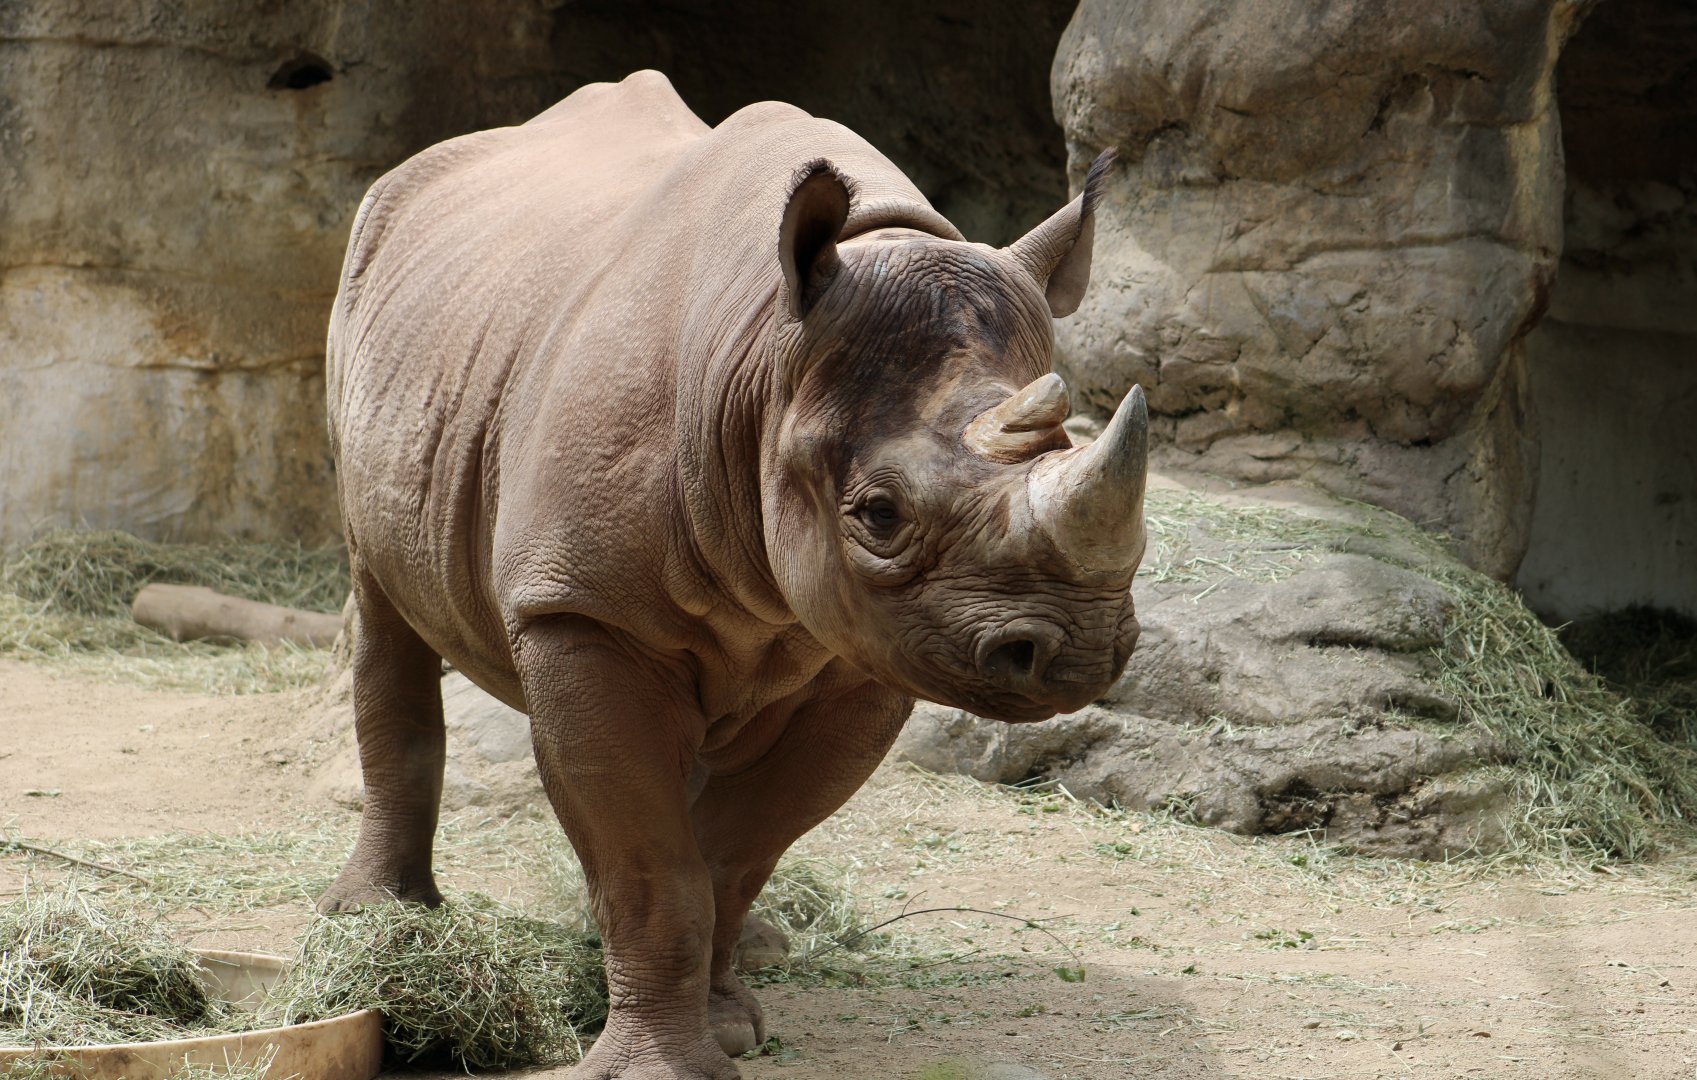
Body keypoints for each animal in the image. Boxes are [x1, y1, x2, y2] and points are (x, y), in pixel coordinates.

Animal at [321, 70, 1148, 1079]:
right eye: (879, 514)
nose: (1078, 653)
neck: (764, 365)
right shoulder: (580, 612)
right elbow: (653, 867)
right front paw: (658, 1066)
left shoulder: (868, 653)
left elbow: (734, 850)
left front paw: (724, 1025)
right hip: (372, 306)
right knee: (383, 604)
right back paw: (375, 919)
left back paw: (754, 951)